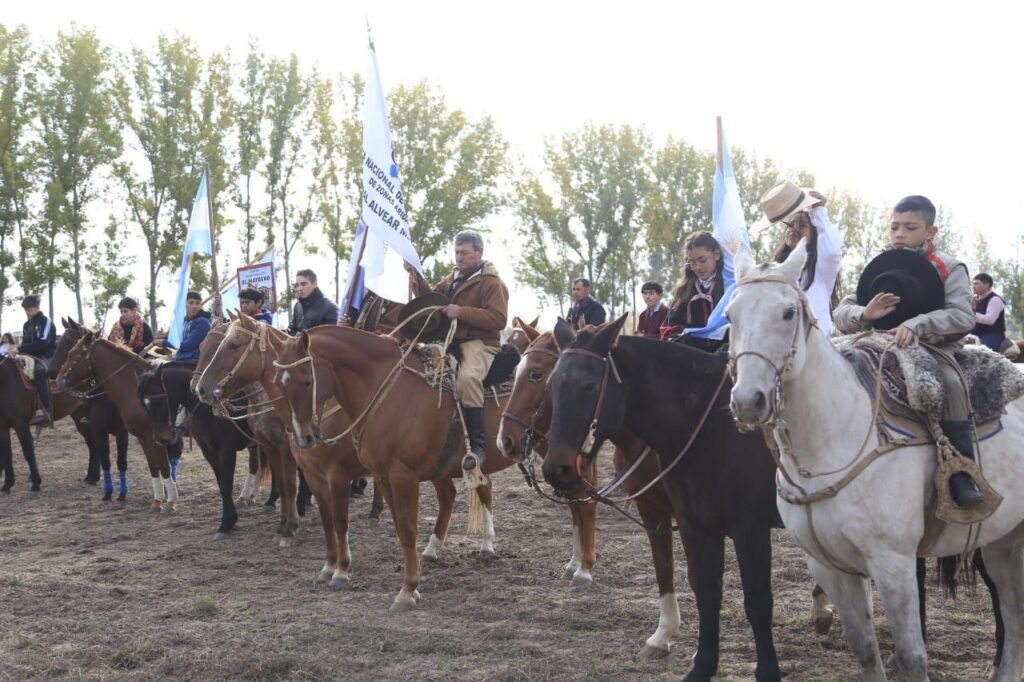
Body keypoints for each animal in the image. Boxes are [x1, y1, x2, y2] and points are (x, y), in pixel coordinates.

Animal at [53, 319, 131, 502]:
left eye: (69, 343)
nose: (51, 372)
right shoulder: (97, 429)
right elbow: (104, 459)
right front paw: (107, 492)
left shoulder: (122, 432)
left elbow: (121, 462)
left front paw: (122, 494)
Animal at [56, 332, 178, 511]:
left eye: (74, 354)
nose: (58, 380)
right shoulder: (141, 435)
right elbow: (153, 465)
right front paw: (157, 501)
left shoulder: (154, 435)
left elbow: (162, 464)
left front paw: (170, 502)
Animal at [272, 324, 529, 610]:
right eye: (279, 383)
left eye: (307, 380)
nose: (304, 436)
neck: (388, 393)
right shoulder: (377, 476)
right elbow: (389, 528)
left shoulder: (393, 476)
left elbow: (402, 529)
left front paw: (406, 589)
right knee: (462, 493)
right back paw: (448, 548)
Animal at [497, 324, 688, 658]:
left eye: (536, 374)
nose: (505, 440)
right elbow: (576, 508)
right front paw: (576, 562)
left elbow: (585, 507)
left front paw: (584, 569)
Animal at [727, 244, 1024, 681]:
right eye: (731, 315)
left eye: (787, 313)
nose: (749, 401)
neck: (835, 438)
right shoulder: (828, 567)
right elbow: (866, 650)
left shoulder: (893, 563)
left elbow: (911, 656)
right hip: (1003, 543)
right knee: (1015, 620)